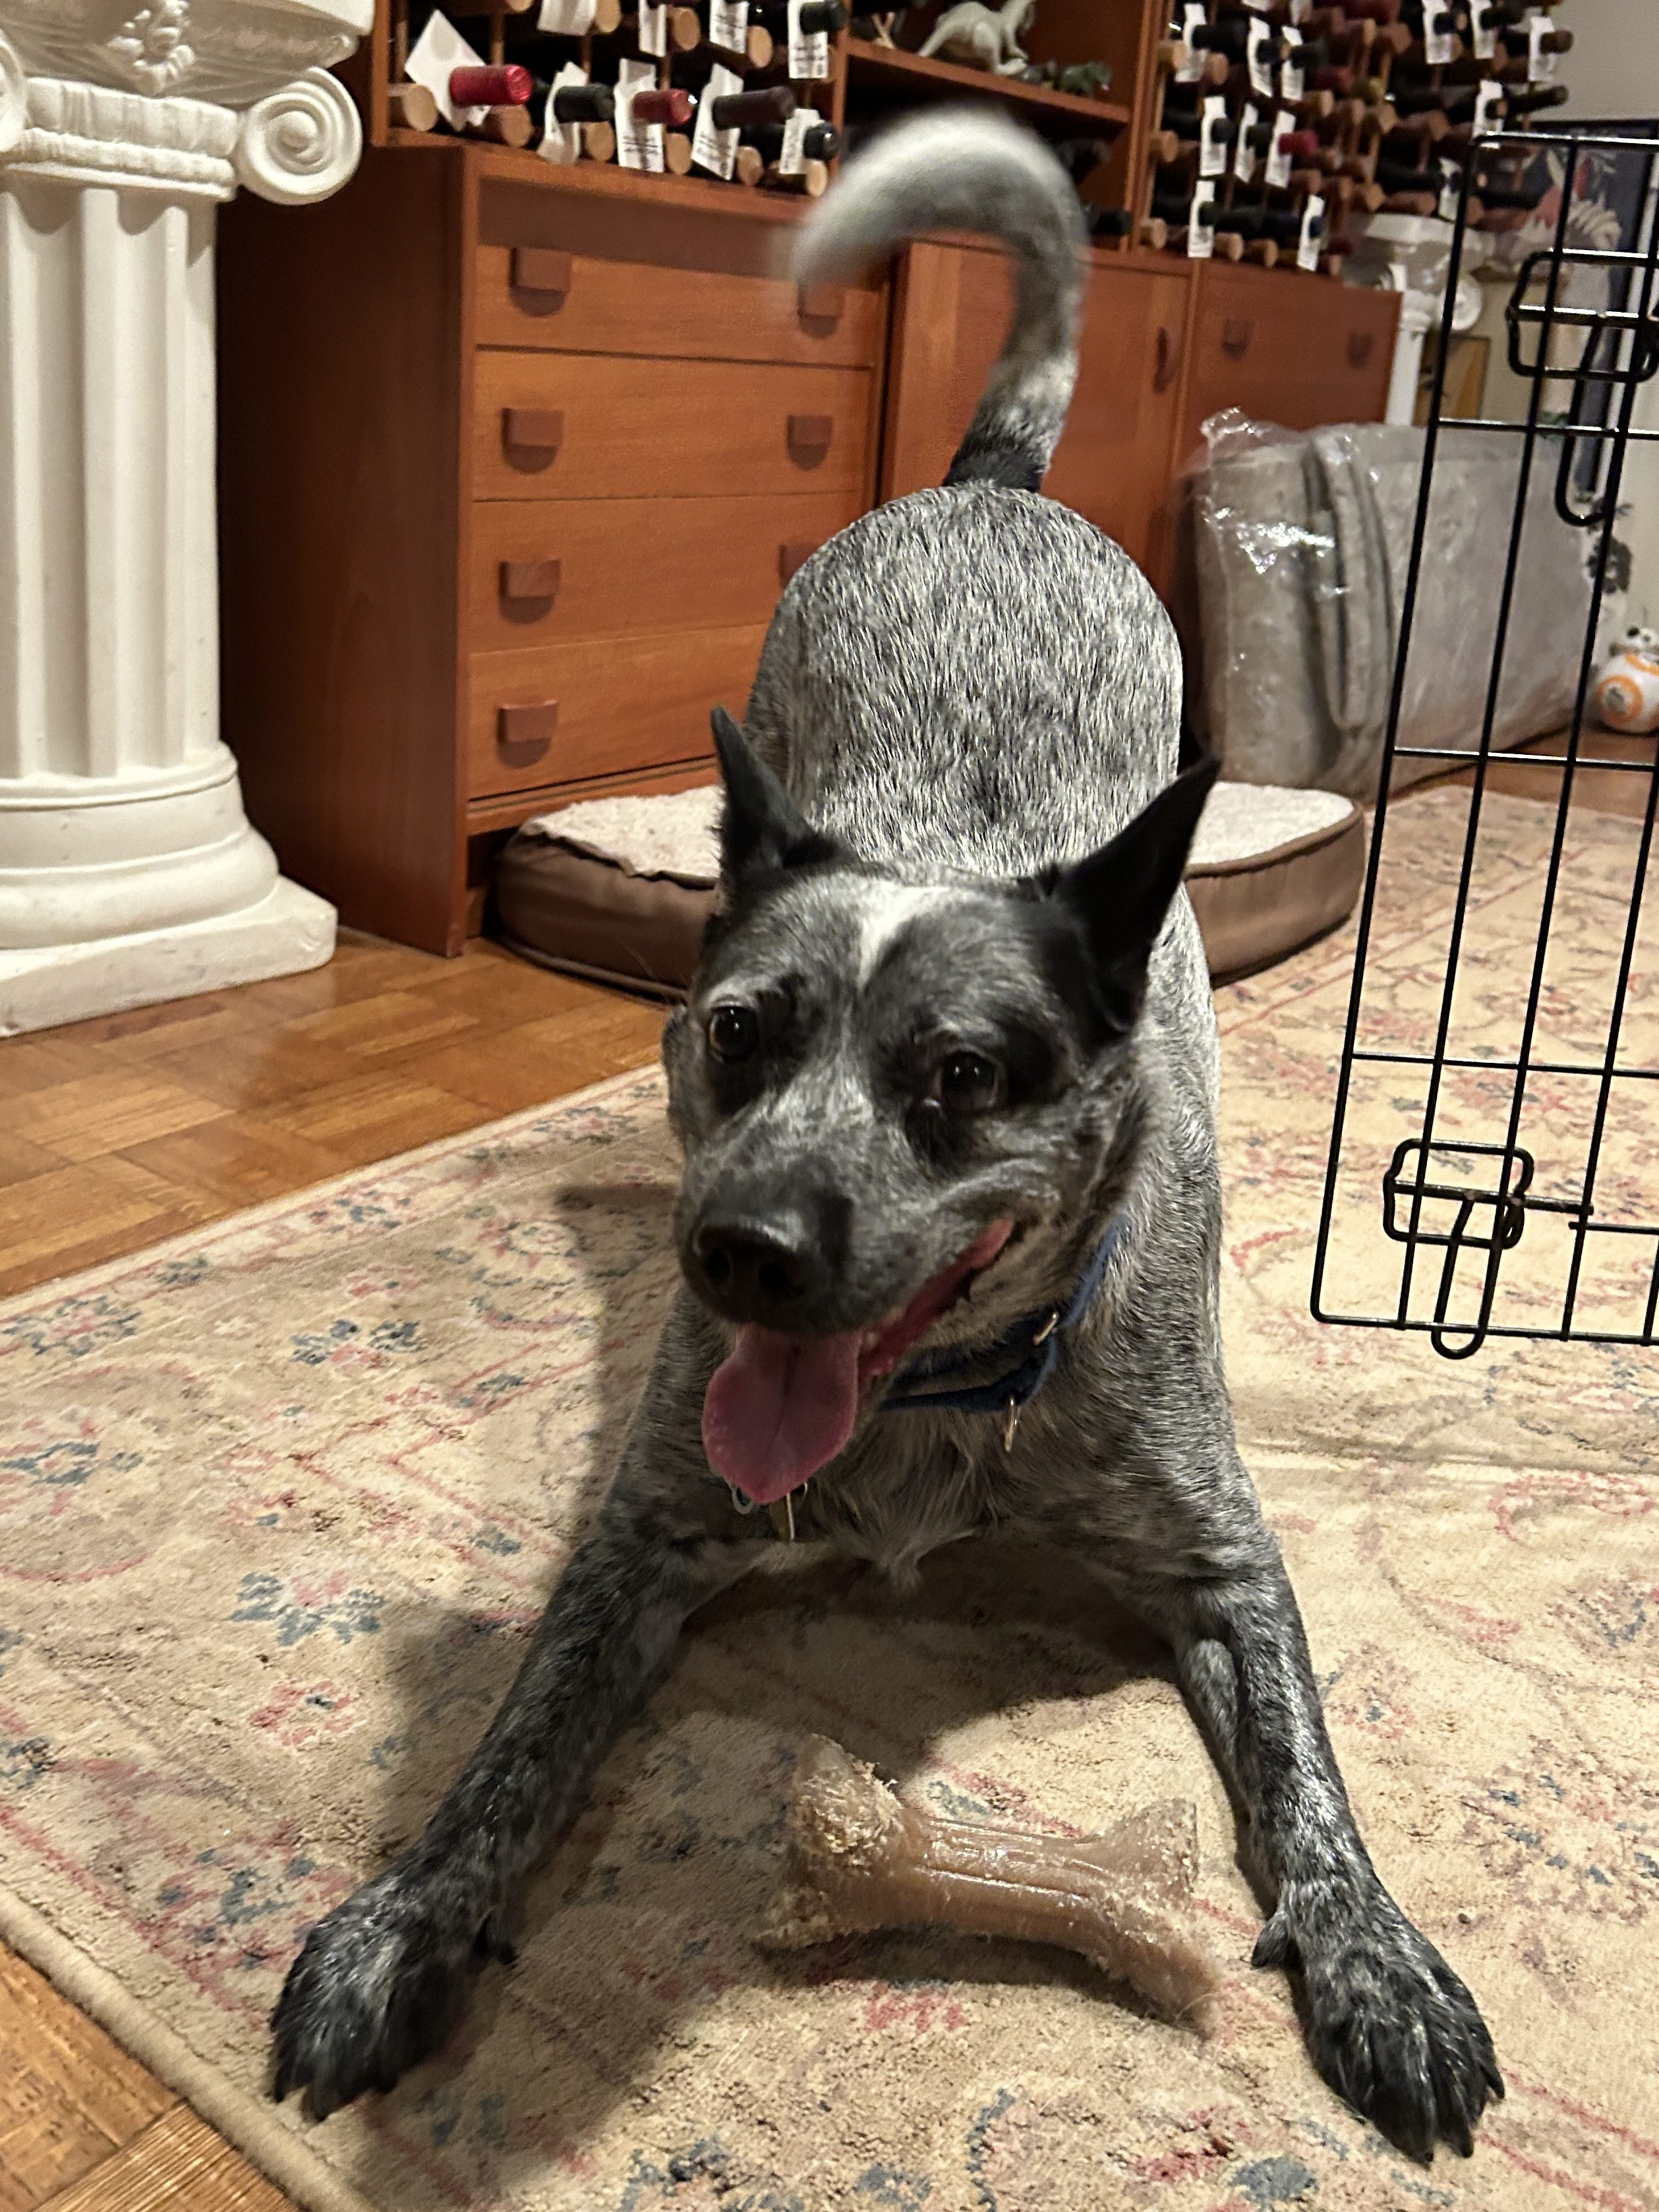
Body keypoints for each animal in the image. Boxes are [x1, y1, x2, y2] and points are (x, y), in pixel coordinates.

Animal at [272, 109, 1501, 2165]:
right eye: (737, 1037)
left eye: (964, 1077)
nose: (736, 1251)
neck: (939, 1404)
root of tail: (990, 481)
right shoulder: (640, 1536)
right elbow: (508, 1741)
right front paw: (404, 1914)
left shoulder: (1224, 1562)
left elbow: (1312, 1789)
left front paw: (1378, 1957)